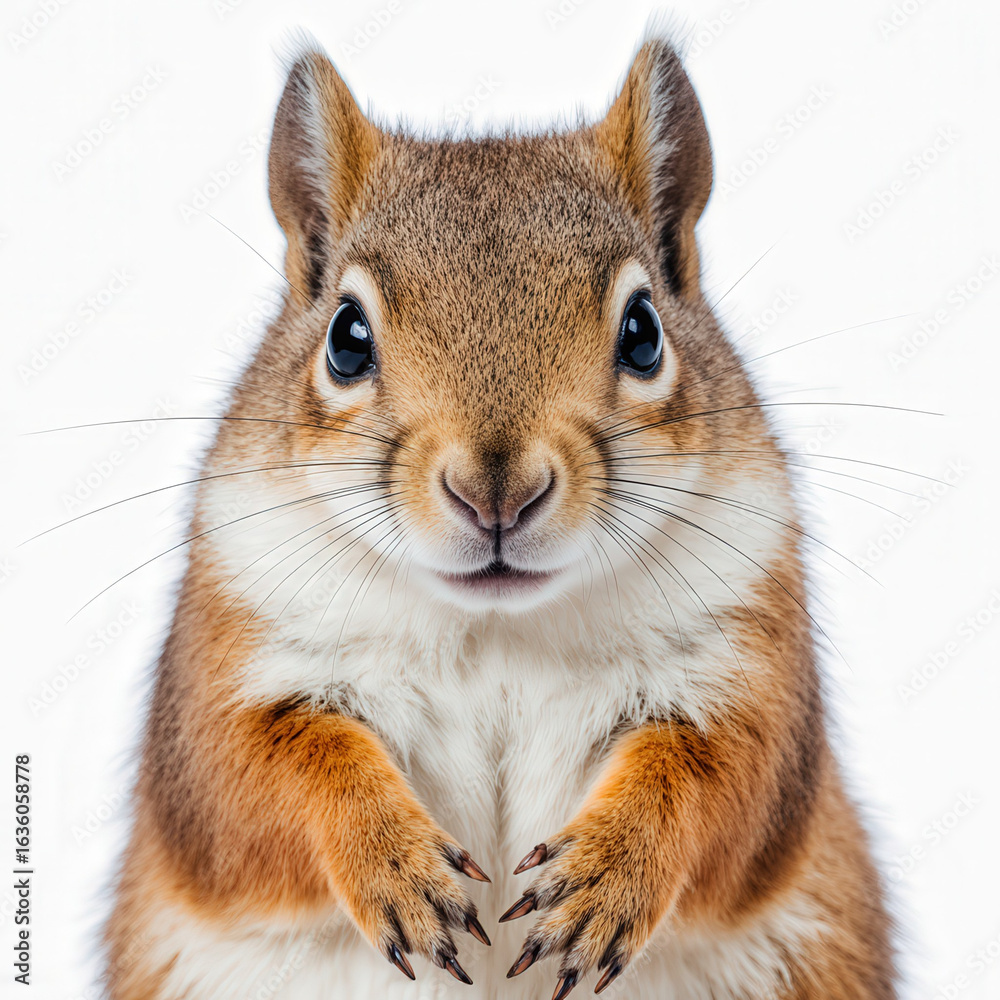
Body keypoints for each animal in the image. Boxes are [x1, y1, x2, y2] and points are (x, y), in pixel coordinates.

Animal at [104, 32, 896, 1000]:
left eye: (643, 331)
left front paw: (604, 878)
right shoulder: (222, 678)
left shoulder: (750, 666)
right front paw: (397, 866)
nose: (496, 494)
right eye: (345, 338)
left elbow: (726, 785)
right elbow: (259, 778)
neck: (495, 632)